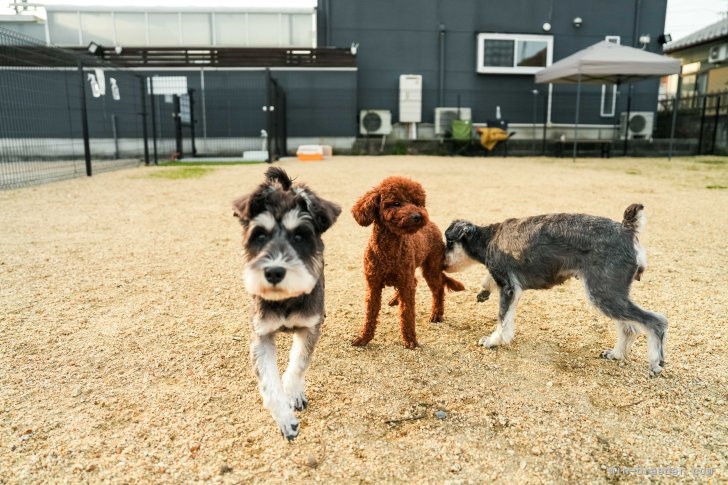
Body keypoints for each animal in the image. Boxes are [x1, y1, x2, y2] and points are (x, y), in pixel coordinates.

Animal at [233, 166, 342, 438]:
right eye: (260, 235)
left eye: (300, 237)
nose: (274, 272)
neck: (285, 299)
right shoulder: (261, 335)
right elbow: (269, 383)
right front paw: (285, 419)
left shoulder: (308, 328)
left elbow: (298, 363)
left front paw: (293, 394)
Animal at [440, 204, 668, 374]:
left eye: (449, 243)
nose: (441, 264)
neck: (488, 238)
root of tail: (627, 229)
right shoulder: (510, 286)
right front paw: (484, 289)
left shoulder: (509, 288)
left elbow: (502, 319)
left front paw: (493, 341)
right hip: (611, 293)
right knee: (629, 327)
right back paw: (616, 354)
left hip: (603, 293)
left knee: (655, 322)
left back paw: (656, 362)